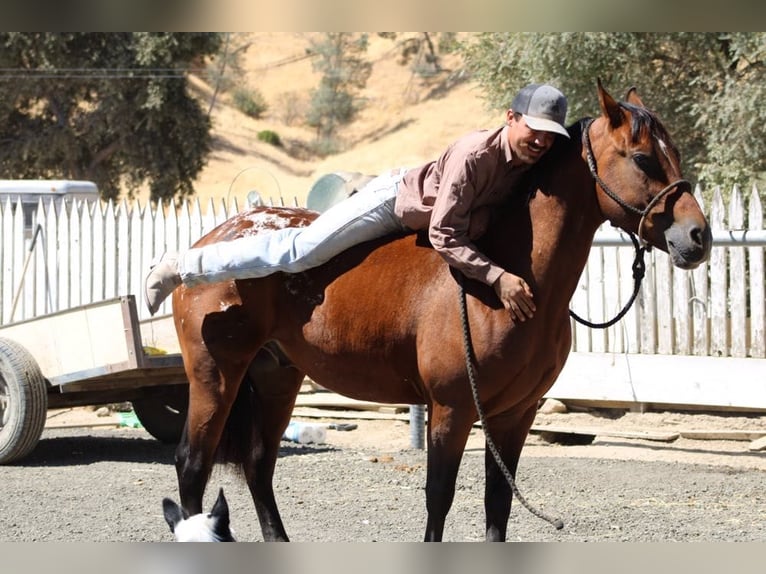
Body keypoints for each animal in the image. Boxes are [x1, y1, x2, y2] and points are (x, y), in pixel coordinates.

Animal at [166, 80, 712, 542]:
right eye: (642, 158)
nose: (698, 237)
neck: (504, 279)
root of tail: (213, 237)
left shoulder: (515, 414)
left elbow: (498, 505)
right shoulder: (452, 410)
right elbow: (439, 499)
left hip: (278, 376)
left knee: (259, 465)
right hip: (215, 376)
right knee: (192, 466)